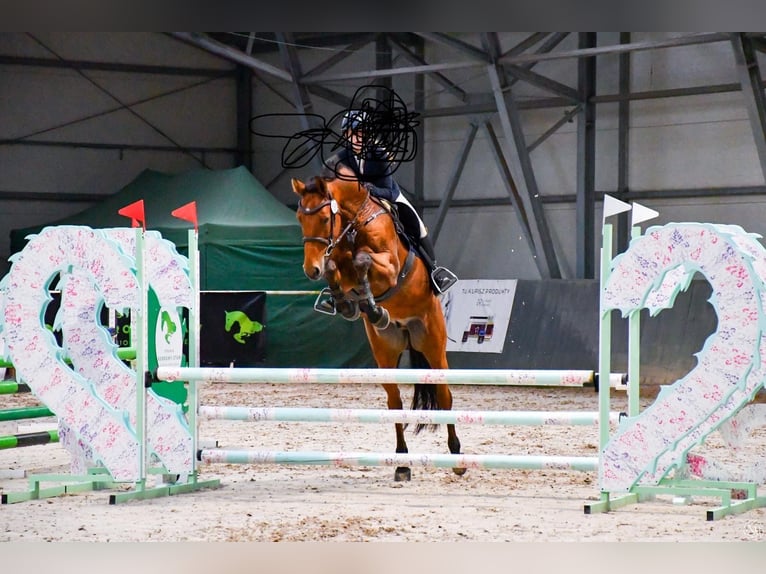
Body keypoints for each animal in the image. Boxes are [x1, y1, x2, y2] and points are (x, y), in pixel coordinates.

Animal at [292, 166, 464, 482]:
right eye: (300, 218)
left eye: (324, 219)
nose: (311, 270)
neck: (353, 225)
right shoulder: (339, 263)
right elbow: (337, 268)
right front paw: (349, 304)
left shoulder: (390, 269)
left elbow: (363, 261)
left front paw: (368, 303)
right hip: (385, 352)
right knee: (394, 404)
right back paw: (402, 464)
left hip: (434, 345)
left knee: (445, 397)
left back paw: (458, 458)